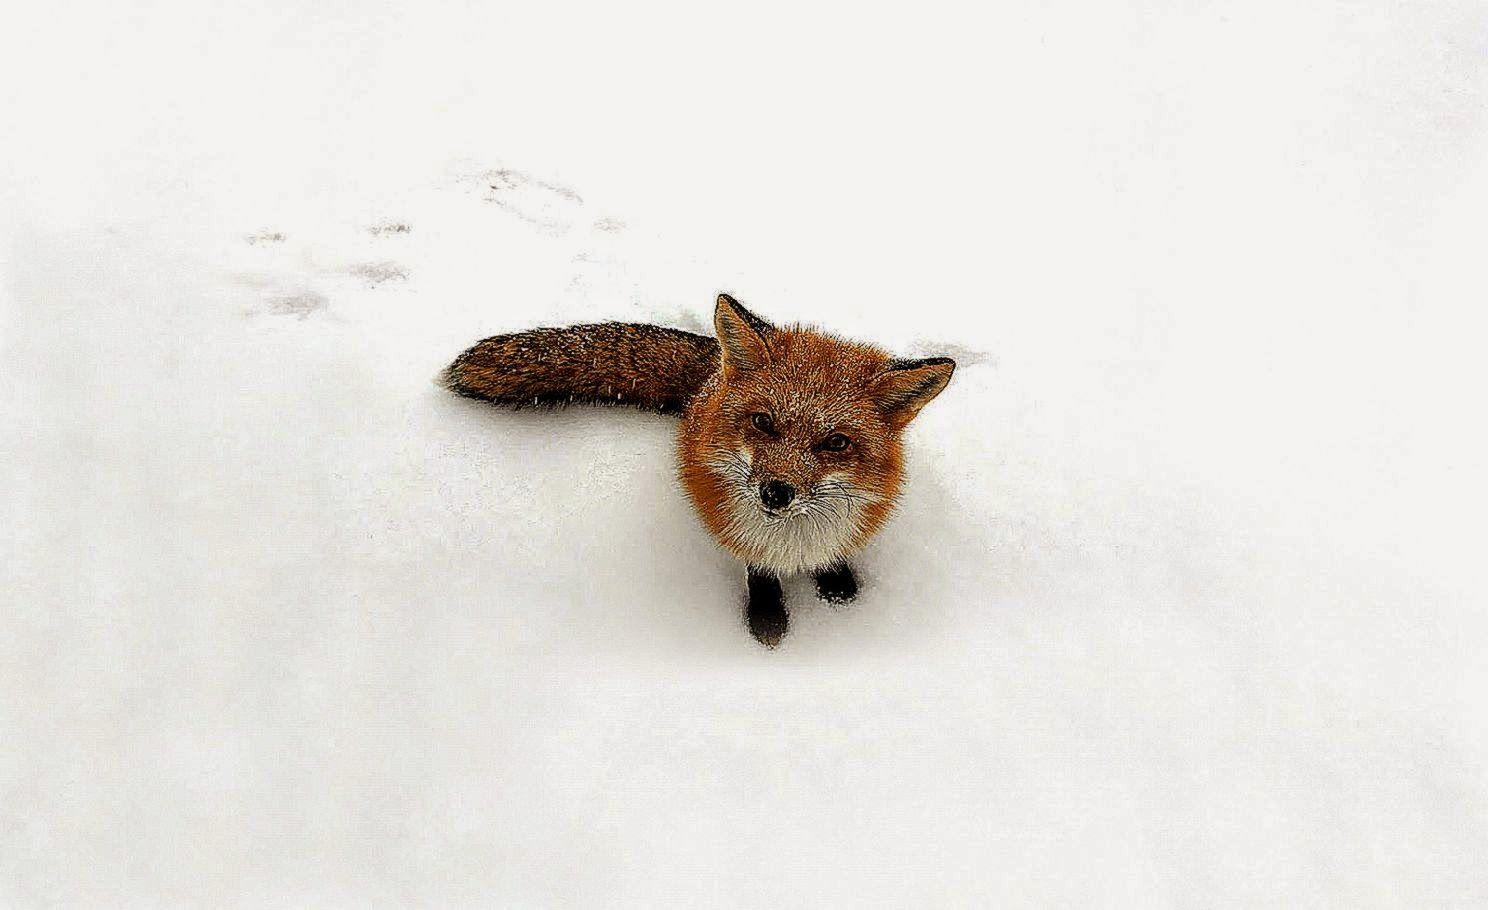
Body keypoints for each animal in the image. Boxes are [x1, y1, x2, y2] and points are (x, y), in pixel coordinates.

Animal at [443, 293, 954, 646]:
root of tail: (712, 373)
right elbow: (759, 572)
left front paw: (840, 591)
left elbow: (835, 560)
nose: (776, 492)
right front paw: (767, 621)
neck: (793, 544)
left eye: (836, 443)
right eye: (763, 422)